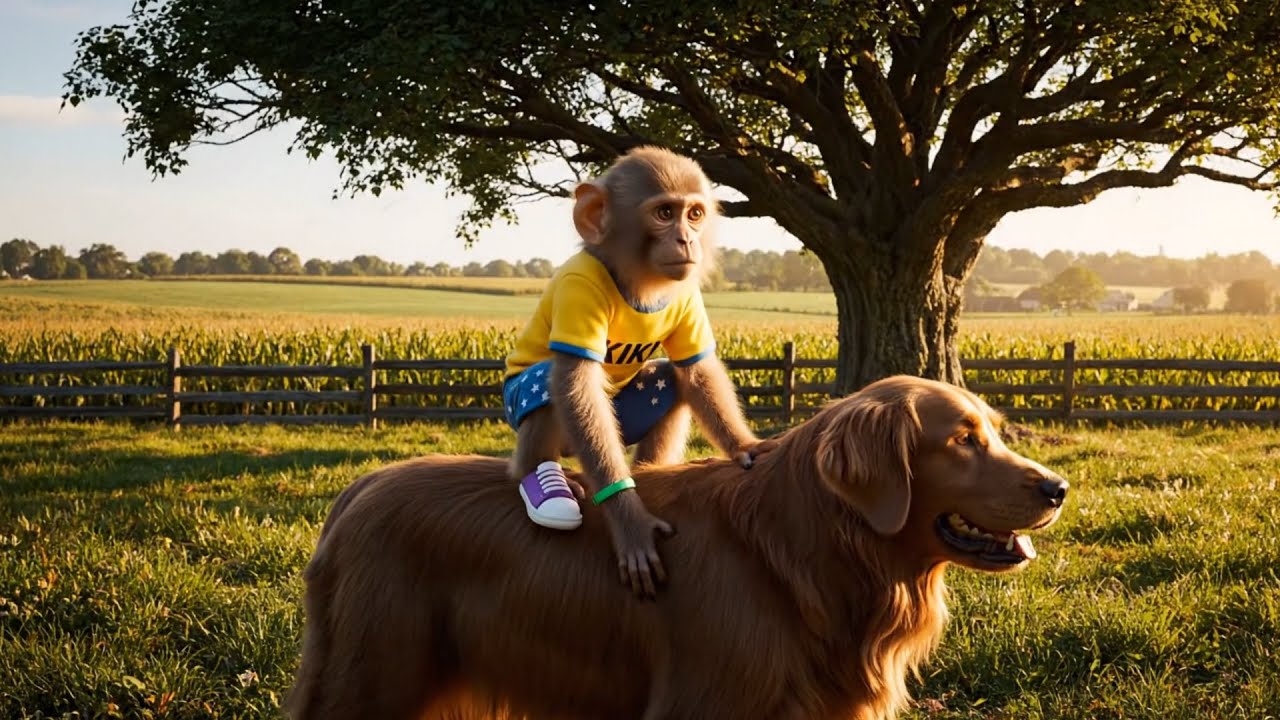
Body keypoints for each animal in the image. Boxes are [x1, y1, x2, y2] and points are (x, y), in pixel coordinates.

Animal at [502, 146, 776, 598]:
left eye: (695, 214)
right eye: (664, 213)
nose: (686, 239)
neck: (639, 282)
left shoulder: (686, 293)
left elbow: (696, 371)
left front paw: (744, 445)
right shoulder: (579, 285)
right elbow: (577, 386)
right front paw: (628, 519)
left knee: (670, 383)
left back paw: (649, 469)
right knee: (546, 381)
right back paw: (541, 479)